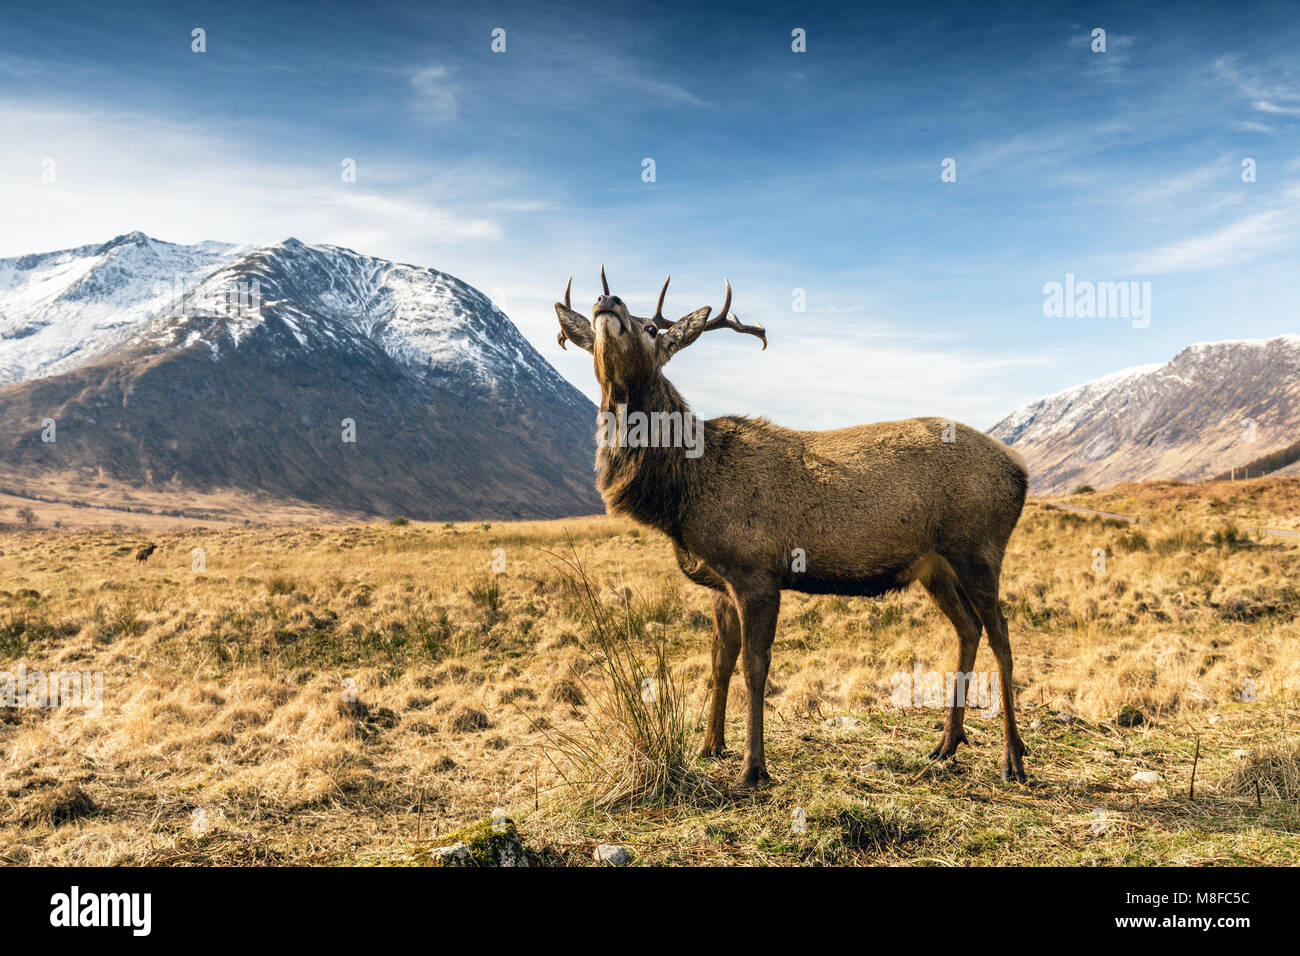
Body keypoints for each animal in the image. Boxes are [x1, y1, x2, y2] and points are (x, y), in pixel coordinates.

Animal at [555, 269, 1030, 788]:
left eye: (652, 329)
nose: (607, 299)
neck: (683, 492)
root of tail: (1020, 470)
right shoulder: (720, 582)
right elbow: (719, 662)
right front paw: (710, 745)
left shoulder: (757, 572)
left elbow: (754, 668)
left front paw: (753, 768)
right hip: (935, 566)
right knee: (969, 628)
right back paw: (947, 743)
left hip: (979, 547)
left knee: (1003, 636)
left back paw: (1013, 757)